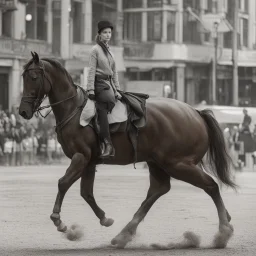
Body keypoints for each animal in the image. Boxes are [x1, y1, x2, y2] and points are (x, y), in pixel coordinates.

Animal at [18, 51, 236, 249]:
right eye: (23, 77)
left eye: (34, 77)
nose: (23, 111)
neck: (74, 109)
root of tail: (196, 112)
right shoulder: (89, 162)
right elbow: (86, 193)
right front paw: (104, 218)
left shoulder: (81, 157)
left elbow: (63, 183)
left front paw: (58, 220)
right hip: (158, 163)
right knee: (157, 191)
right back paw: (124, 234)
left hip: (178, 164)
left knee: (211, 186)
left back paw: (223, 230)